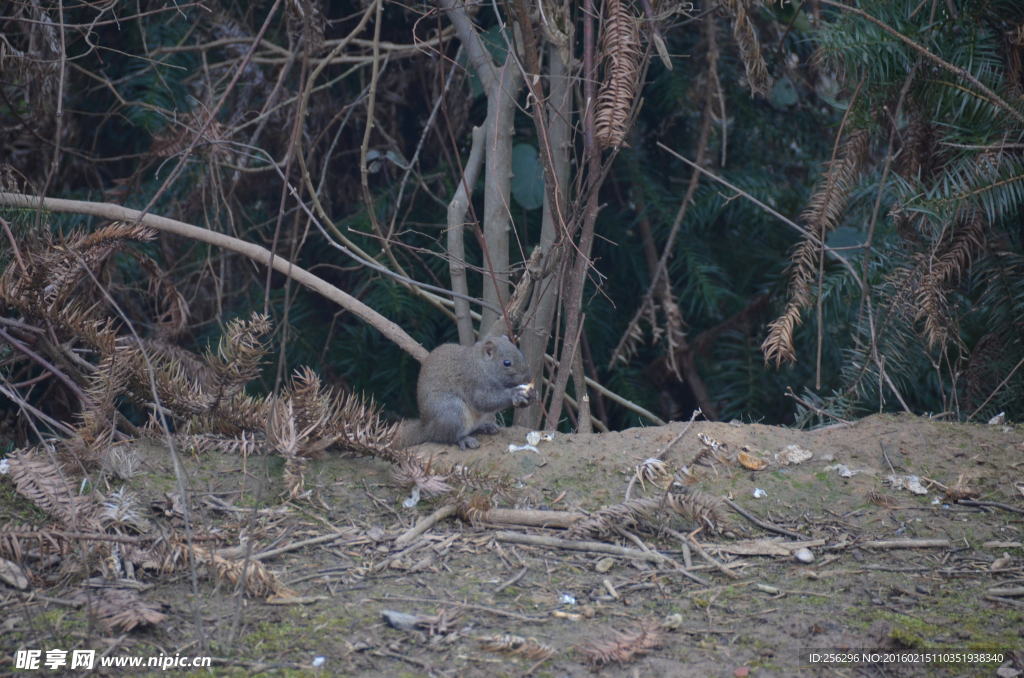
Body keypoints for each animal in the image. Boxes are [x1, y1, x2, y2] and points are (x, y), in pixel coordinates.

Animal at [393, 335, 536, 450]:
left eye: (520, 353)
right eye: (507, 363)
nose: (528, 378)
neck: (482, 365)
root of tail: (427, 428)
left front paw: (533, 395)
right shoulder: (474, 382)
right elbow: (484, 401)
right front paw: (515, 394)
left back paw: (486, 426)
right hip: (452, 412)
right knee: (446, 437)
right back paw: (464, 439)